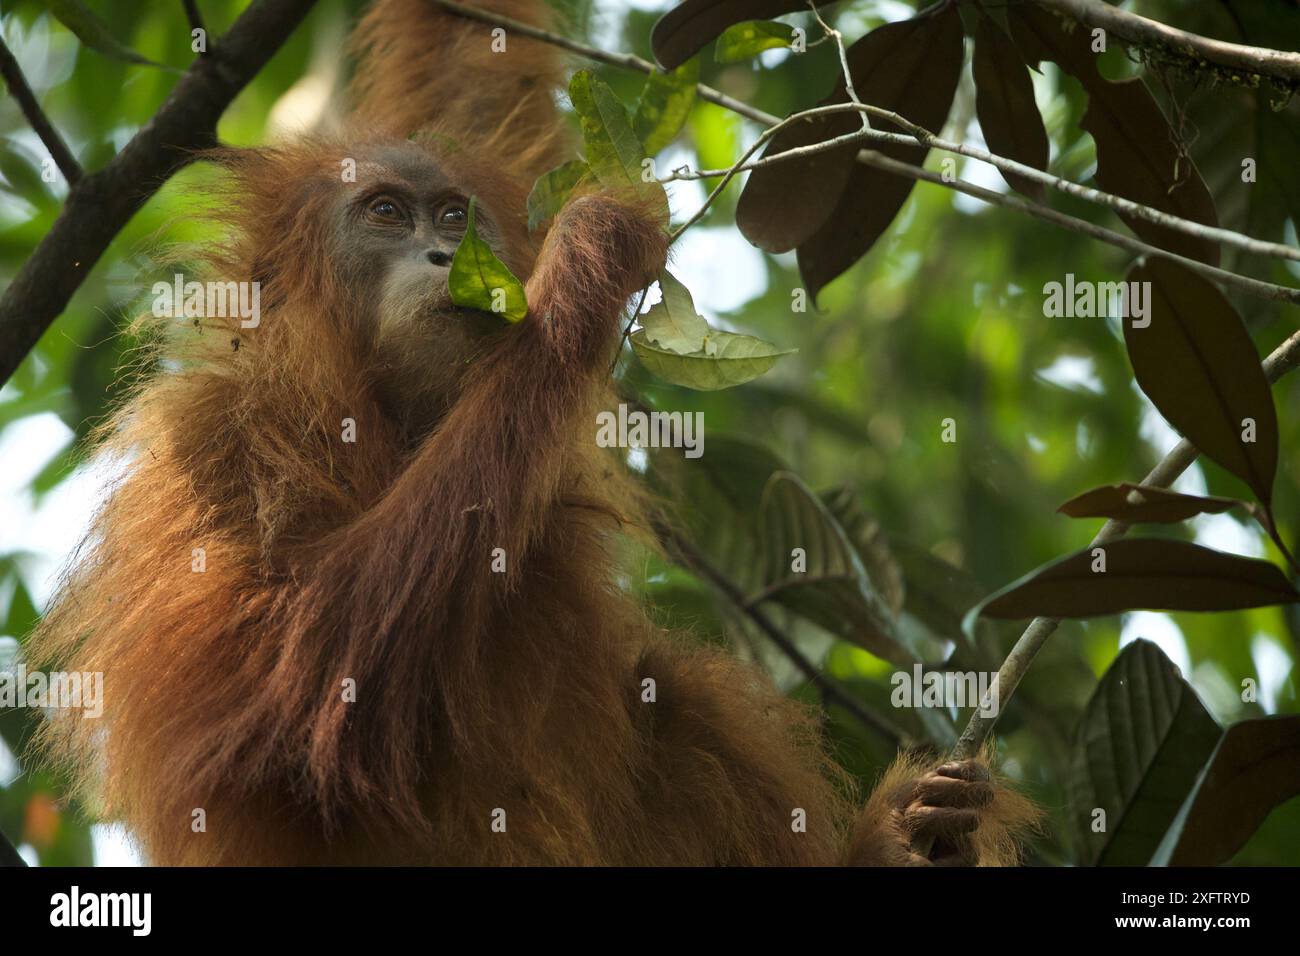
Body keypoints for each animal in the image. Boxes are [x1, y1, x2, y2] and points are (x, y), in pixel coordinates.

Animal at [26, 0, 1039, 865]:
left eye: (452, 214)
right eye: (385, 214)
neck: (386, 411)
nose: (445, 254)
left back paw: (904, 843)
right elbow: (286, 696)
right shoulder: (217, 443)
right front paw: (592, 250)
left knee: (671, 691)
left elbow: (475, 69)